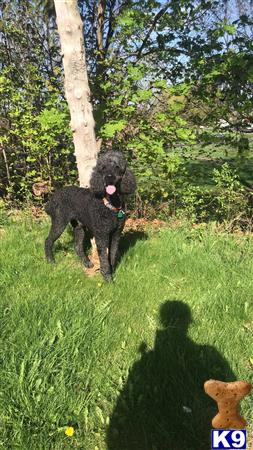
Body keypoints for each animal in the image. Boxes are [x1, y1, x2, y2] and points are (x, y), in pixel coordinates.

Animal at [45, 151, 136, 282]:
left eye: (117, 167)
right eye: (103, 168)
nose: (109, 177)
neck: (110, 205)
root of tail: (53, 198)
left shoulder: (116, 234)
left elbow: (112, 255)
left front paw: (112, 270)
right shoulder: (102, 236)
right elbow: (104, 258)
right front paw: (108, 278)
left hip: (79, 227)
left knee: (77, 246)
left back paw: (86, 263)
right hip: (59, 222)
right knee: (48, 240)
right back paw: (50, 260)